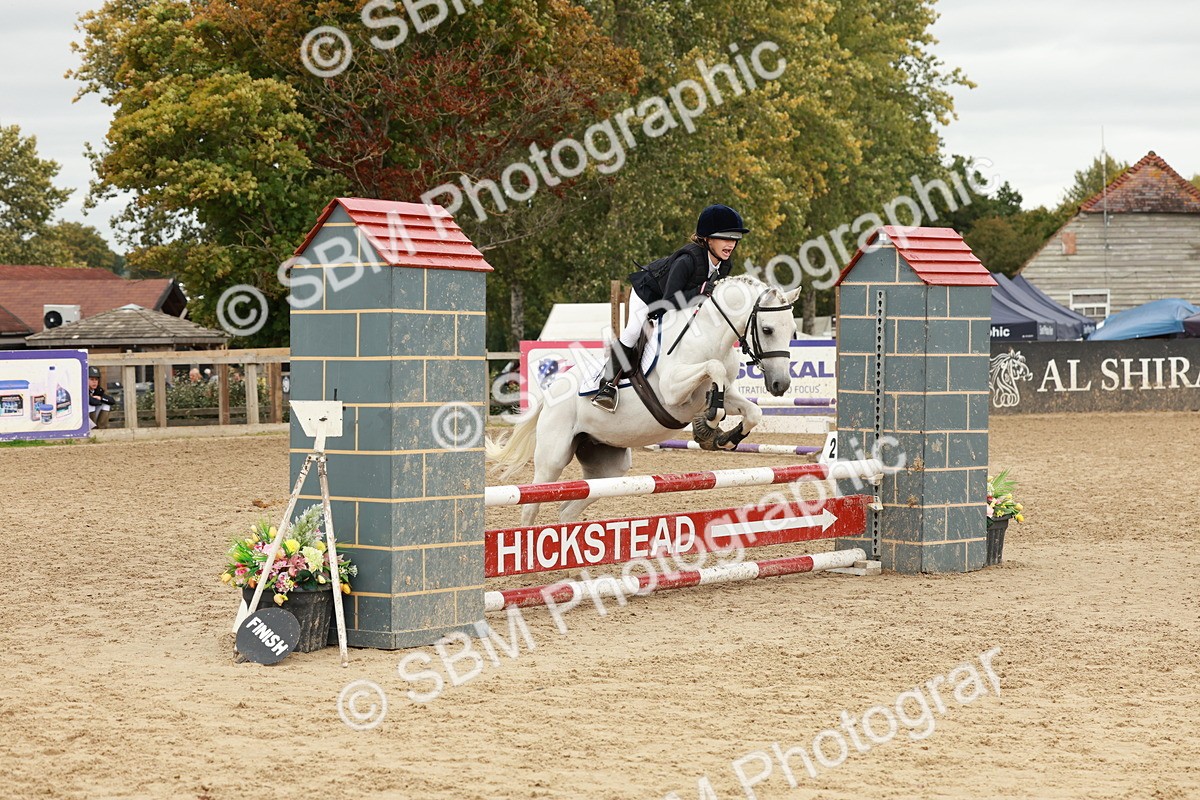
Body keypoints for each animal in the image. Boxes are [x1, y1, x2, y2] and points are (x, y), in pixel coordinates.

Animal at [485, 275, 800, 525]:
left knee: (568, 509)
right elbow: (715, 371)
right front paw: (709, 424)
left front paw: (721, 437)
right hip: (552, 457)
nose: (780, 384)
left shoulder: (719, 393)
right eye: (768, 329)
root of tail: (551, 391)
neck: (710, 337)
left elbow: (751, 411)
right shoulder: (673, 391)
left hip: (607, 469)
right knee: (531, 504)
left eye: (792, 331)